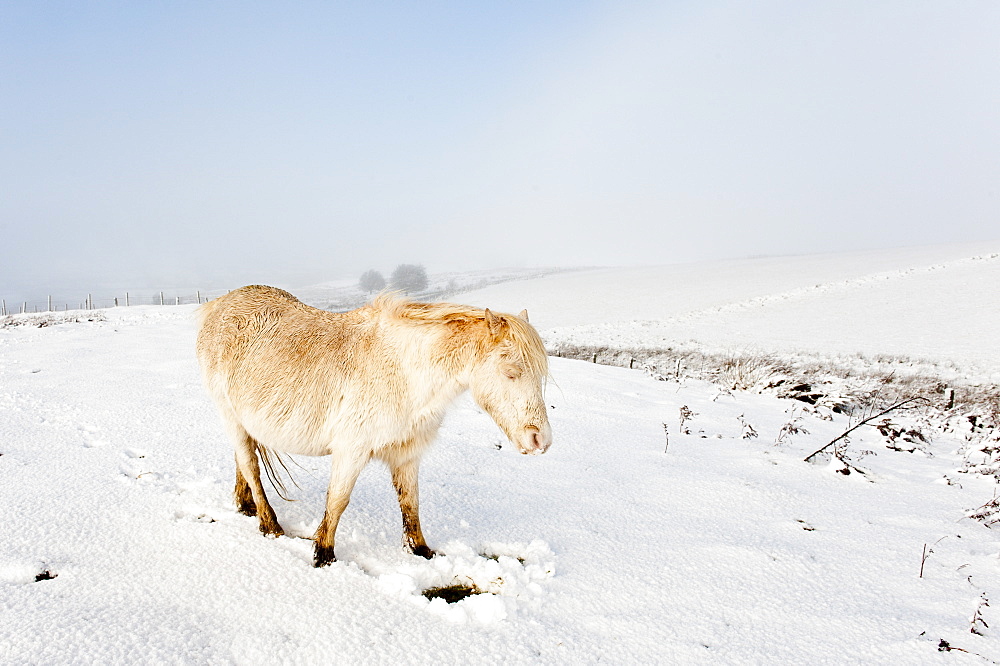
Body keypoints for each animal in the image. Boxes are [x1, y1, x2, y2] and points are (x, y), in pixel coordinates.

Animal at [193, 286, 556, 564]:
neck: (403, 371)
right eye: (511, 371)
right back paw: (269, 525)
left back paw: (246, 506)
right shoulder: (350, 451)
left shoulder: (407, 455)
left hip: (245, 420)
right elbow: (337, 502)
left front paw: (421, 552)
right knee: (250, 465)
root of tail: (218, 304)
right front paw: (323, 555)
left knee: (243, 461)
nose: (540, 441)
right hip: (229, 415)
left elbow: (411, 504)